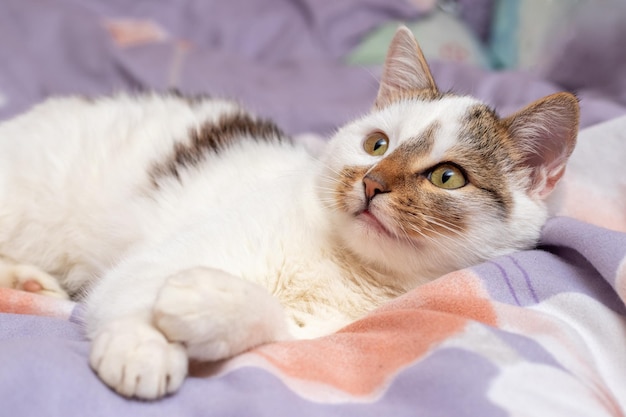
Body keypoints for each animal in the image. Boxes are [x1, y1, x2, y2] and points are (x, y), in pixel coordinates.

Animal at [0, 27, 576, 398]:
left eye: (447, 177)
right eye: (376, 144)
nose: (371, 183)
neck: (344, 264)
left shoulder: (333, 334)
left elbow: (281, 330)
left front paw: (209, 303)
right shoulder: (148, 264)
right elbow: (135, 290)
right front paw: (143, 346)